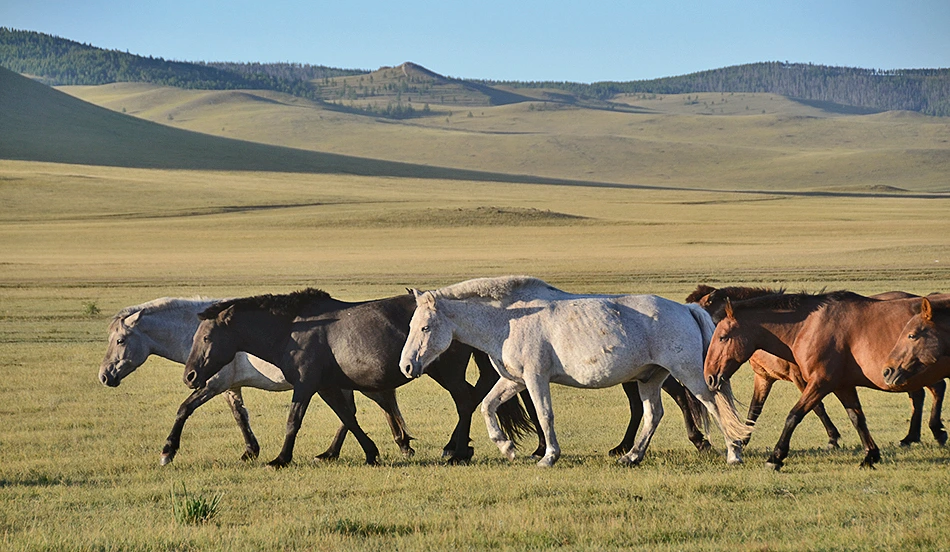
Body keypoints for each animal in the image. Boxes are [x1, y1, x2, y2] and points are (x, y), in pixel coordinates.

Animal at [98, 297, 418, 465]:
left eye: (120, 340)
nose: (104, 376)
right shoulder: (230, 388)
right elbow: (240, 416)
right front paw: (250, 451)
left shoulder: (212, 385)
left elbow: (184, 409)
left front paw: (168, 451)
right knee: (356, 411)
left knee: (369, 407)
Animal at [182, 289, 535, 468]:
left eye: (207, 338)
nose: (190, 376)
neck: (293, 329)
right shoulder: (326, 386)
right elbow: (347, 418)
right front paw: (369, 452)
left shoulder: (305, 385)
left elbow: (294, 421)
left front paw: (281, 459)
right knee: (473, 395)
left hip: (444, 371)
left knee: (465, 399)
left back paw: (458, 451)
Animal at [398, 276, 752, 468]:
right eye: (412, 325)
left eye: (425, 327)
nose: (406, 366)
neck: (509, 320)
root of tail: (687, 309)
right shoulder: (514, 380)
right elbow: (488, 406)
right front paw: (507, 448)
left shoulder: (535, 378)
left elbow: (545, 415)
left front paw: (548, 456)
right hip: (650, 378)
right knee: (653, 414)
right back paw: (631, 456)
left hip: (690, 374)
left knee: (714, 405)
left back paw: (733, 453)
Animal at [703, 291, 950, 470]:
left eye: (722, 337)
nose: (709, 377)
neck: (808, 327)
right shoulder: (842, 385)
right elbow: (857, 418)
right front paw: (871, 455)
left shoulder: (820, 382)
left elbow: (795, 415)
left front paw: (776, 457)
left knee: (935, 390)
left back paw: (934, 431)